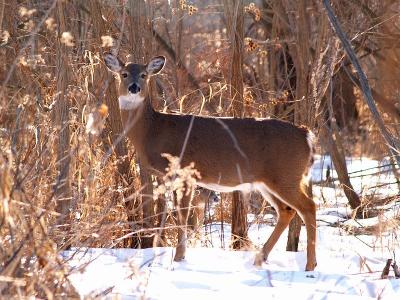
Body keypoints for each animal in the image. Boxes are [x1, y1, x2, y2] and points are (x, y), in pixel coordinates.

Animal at [104, 52, 318, 270]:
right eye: (124, 74)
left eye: (144, 75)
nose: (134, 87)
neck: (153, 131)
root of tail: (306, 135)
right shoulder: (169, 177)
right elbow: (170, 213)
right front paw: (169, 255)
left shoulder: (185, 172)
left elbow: (182, 215)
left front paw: (179, 257)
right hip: (268, 181)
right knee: (286, 210)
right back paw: (260, 258)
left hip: (286, 175)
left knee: (308, 207)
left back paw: (310, 266)